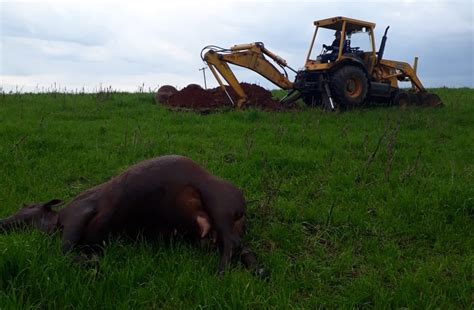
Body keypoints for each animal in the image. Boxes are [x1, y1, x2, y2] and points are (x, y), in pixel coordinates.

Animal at [0, 155, 262, 274]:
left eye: (26, 205)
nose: (3, 221)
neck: (54, 222)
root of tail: (242, 203)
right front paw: (92, 261)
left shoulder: (78, 213)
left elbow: (64, 251)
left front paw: (92, 264)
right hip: (221, 226)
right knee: (241, 247)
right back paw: (259, 270)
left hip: (219, 206)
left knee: (231, 245)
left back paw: (220, 273)